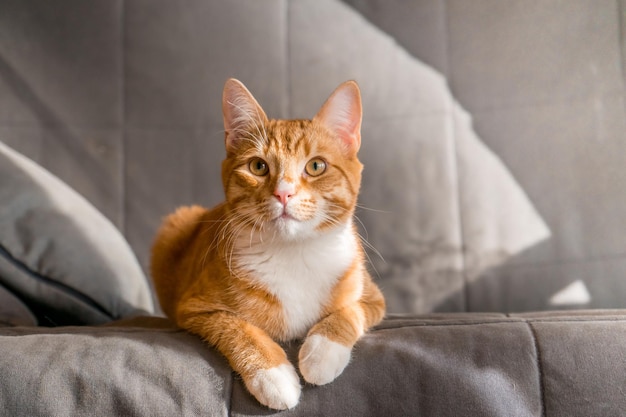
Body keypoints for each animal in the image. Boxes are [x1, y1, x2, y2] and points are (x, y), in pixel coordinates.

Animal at [151, 78, 386, 410]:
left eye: (316, 166)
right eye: (258, 166)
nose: (283, 193)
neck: (294, 254)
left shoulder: (372, 298)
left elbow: (349, 313)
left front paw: (321, 353)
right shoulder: (195, 308)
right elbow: (238, 327)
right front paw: (272, 374)